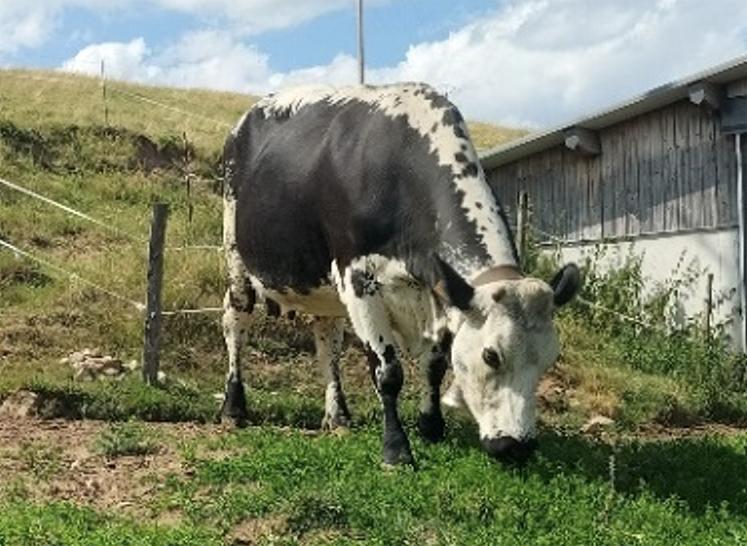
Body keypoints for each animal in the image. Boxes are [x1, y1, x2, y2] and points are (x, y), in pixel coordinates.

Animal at [219, 83, 580, 466]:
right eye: (491, 355)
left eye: (548, 359)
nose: (517, 446)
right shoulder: (359, 281)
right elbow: (388, 372)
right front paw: (396, 448)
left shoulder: (437, 291)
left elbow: (434, 365)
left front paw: (431, 426)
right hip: (236, 256)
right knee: (236, 321)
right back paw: (233, 408)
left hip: (324, 288)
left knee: (328, 339)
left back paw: (338, 416)